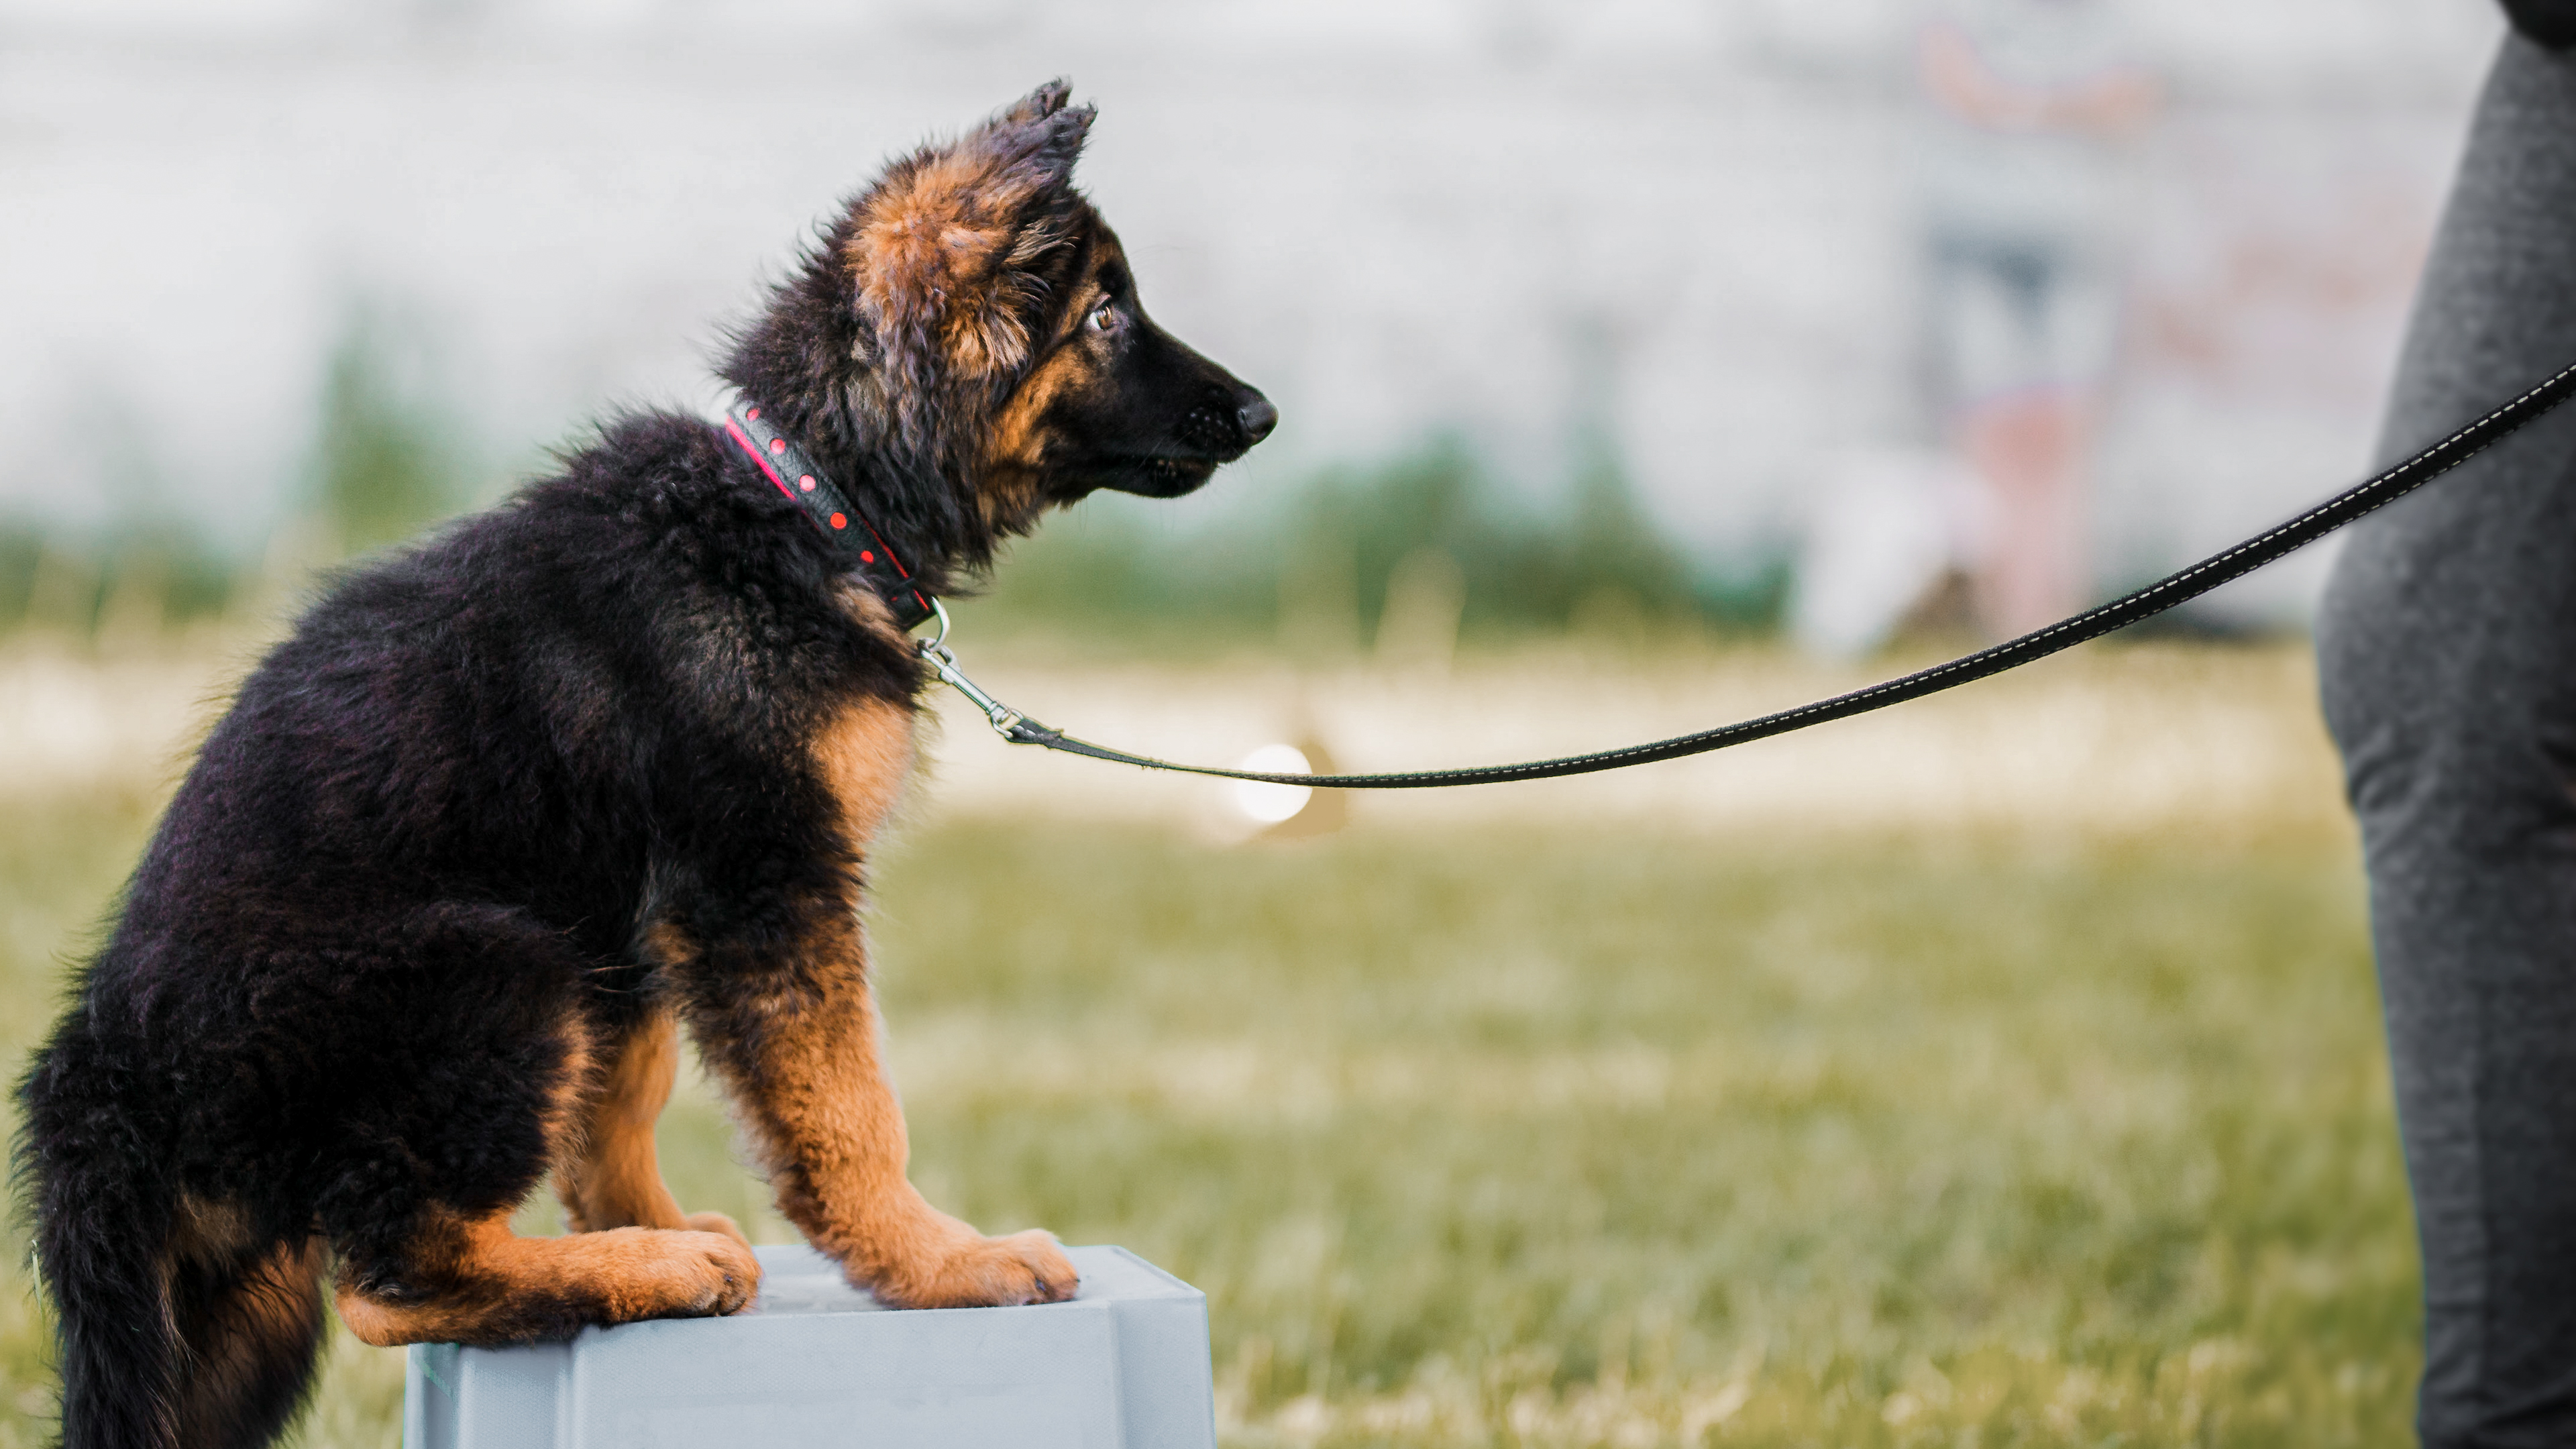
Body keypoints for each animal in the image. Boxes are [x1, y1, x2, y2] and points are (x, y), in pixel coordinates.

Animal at [15, 84, 1272, 1444]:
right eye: (1104, 313)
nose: (1261, 415)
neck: (800, 509)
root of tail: (102, 1081)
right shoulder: (756, 883)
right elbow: (848, 1106)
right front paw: (935, 1262)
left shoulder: (631, 923)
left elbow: (619, 1106)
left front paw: (658, 1222)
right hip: (494, 966)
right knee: (393, 1283)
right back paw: (637, 1278)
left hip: (237, 1315)